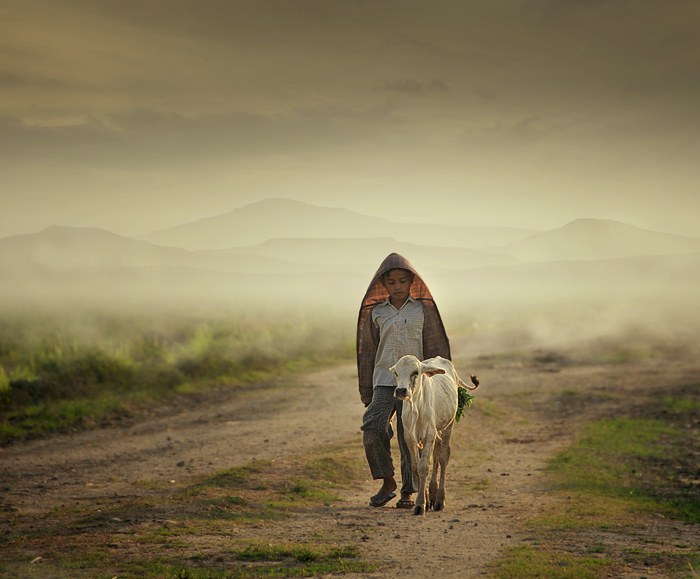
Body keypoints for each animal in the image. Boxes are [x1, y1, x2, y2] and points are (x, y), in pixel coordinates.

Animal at [392, 358, 478, 516]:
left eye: (415, 372)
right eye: (396, 372)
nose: (401, 390)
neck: (416, 406)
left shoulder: (429, 435)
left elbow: (424, 466)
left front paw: (420, 505)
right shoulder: (409, 437)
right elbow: (416, 466)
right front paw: (425, 499)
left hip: (448, 425)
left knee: (443, 457)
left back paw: (439, 500)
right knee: (437, 453)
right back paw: (432, 494)